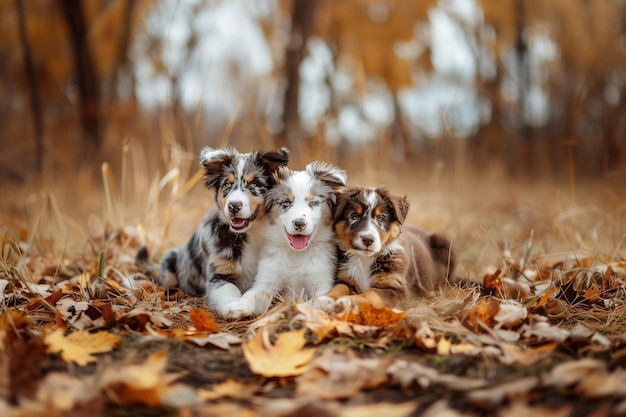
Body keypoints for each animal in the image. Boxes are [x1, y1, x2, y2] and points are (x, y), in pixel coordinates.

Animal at [158, 146, 290, 316]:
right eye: (227, 184)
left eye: (254, 184)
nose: (234, 206)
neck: (252, 233)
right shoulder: (218, 274)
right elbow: (229, 290)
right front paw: (235, 307)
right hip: (170, 261)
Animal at [222, 161, 344, 316]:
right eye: (286, 203)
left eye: (314, 203)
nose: (299, 223)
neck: (296, 255)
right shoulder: (267, 279)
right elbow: (253, 294)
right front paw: (237, 305)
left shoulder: (322, 281)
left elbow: (317, 300)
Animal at [322, 185, 454, 308]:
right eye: (354, 216)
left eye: (381, 218)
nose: (368, 240)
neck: (365, 260)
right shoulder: (345, 278)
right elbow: (339, 288)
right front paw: (325, 298)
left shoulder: (397, 289)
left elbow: (371, 294)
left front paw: (348, 301)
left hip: (445, 245)